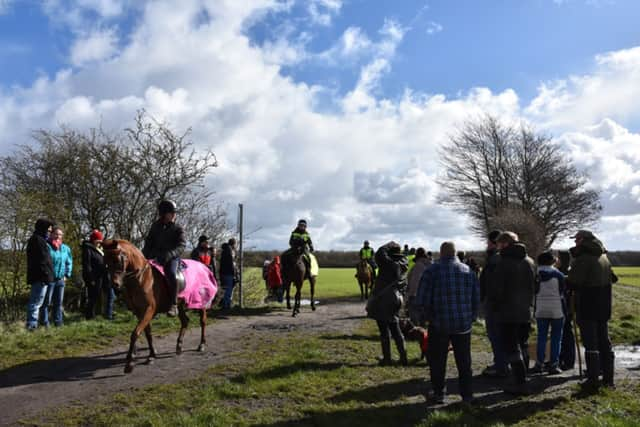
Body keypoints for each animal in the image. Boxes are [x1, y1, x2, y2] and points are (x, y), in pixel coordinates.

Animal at [101, 241, 209, 374]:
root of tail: (203, 266)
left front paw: (130, 363)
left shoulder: (149, 310)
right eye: (105, 261)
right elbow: (148, 333)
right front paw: (151, 355)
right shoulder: (139, 312)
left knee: (203, 321)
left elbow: (135, 333)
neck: (141, 279)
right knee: (185, 321)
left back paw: (201, 345)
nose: (114, 285)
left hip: (200, 303)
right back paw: (179, 346)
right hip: (179, 304)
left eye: (117, 260)